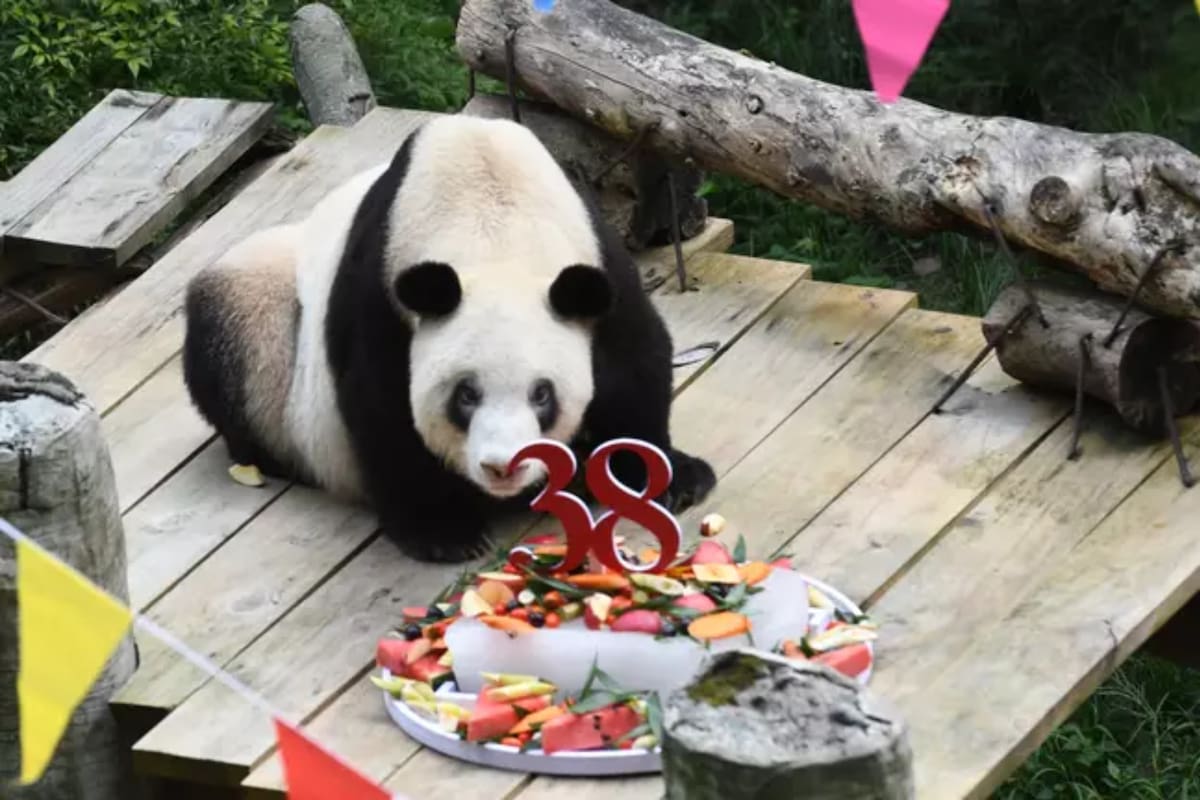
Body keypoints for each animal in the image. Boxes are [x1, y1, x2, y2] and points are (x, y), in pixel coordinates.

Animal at [182, 114, 716, 563]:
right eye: (466, 395)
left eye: (542, 395)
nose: (503, 468)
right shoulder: (379, 280)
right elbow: (381, 402)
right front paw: (443, 532)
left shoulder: (595, 259)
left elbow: (634, 363)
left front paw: (665, 478)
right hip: (268, 319)